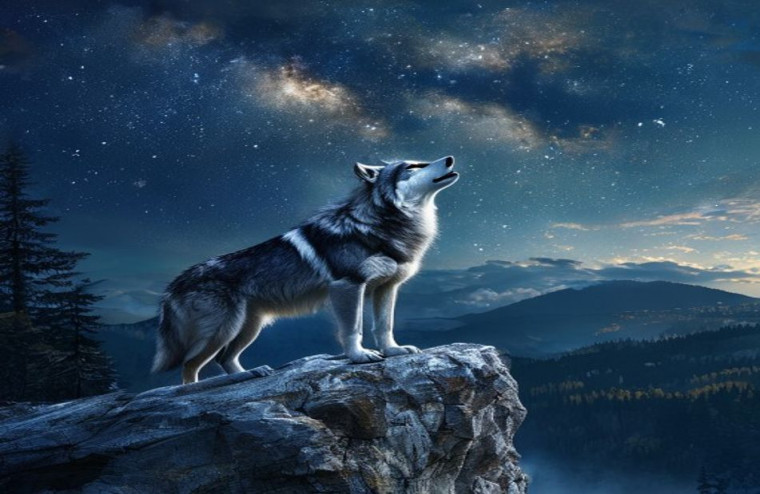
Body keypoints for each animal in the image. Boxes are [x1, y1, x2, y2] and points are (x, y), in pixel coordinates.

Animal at [152, 156, 459, 383]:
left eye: (420, 161)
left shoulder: (387, 287)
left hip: (249, 326)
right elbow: (354, 328)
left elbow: (384, 326)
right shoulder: (348, 286)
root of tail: (172, 286)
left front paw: (393, 351)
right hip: (224, 328)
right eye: (412, 166)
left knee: (223, 359)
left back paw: (250, 374)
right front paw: (359, 356)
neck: (384, 224)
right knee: (190, 368)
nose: (450, 158)